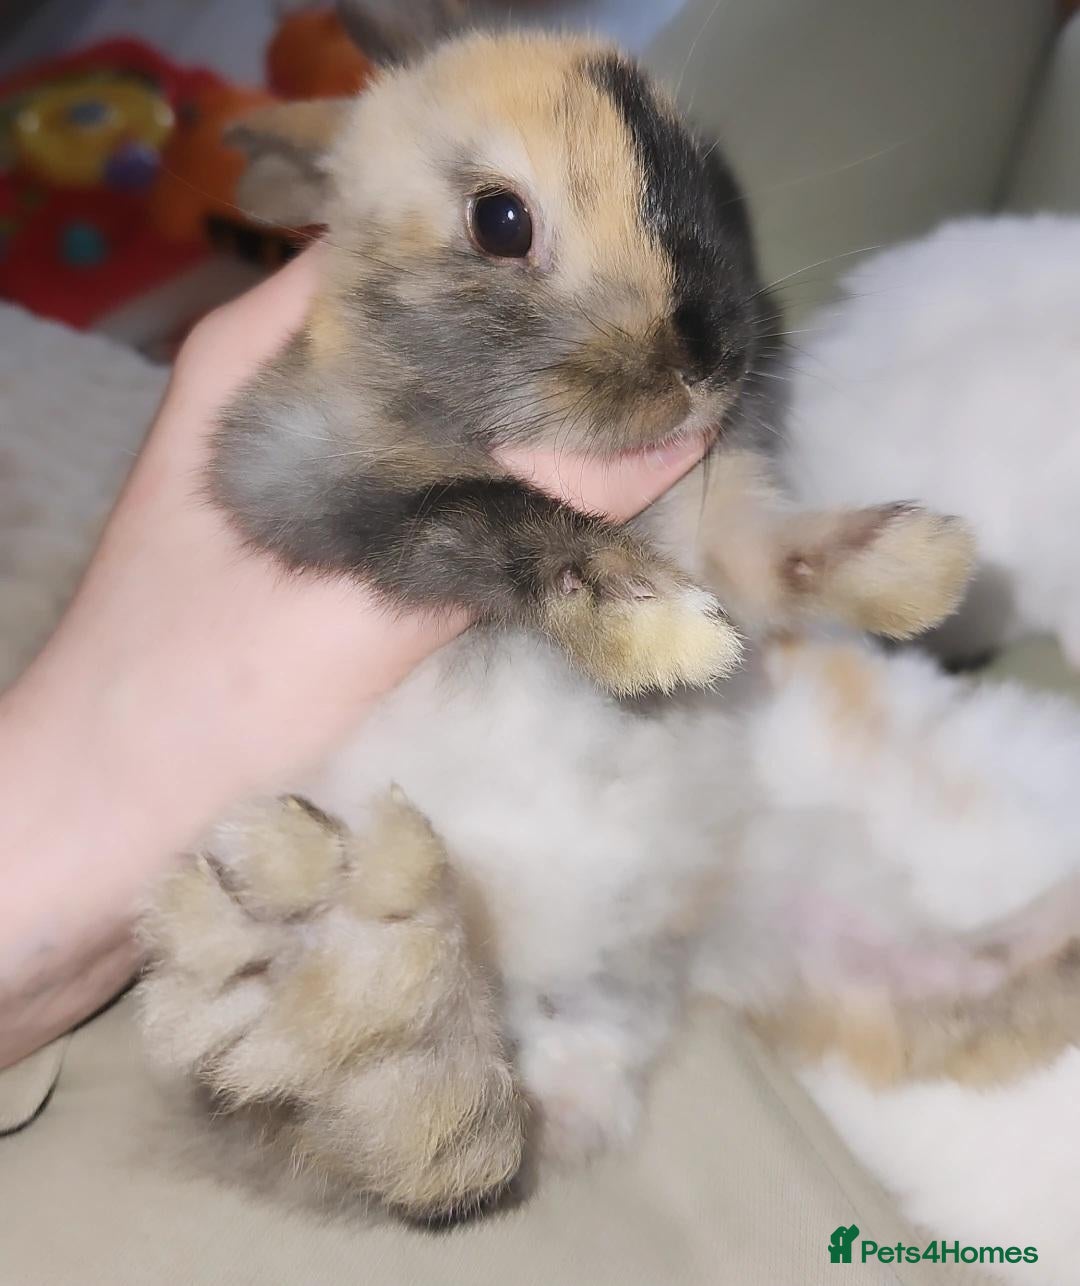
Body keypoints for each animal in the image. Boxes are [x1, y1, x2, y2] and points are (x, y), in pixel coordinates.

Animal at [136, 11, 975, 1226]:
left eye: (707, 180)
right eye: (500, 220)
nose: (708, 361)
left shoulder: (709, 519)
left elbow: (768, 559)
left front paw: (921, 568)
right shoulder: (307, 480)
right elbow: (489, 515)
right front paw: (655, 631)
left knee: (473, 1138)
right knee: (340, 1131)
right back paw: (367, 993)